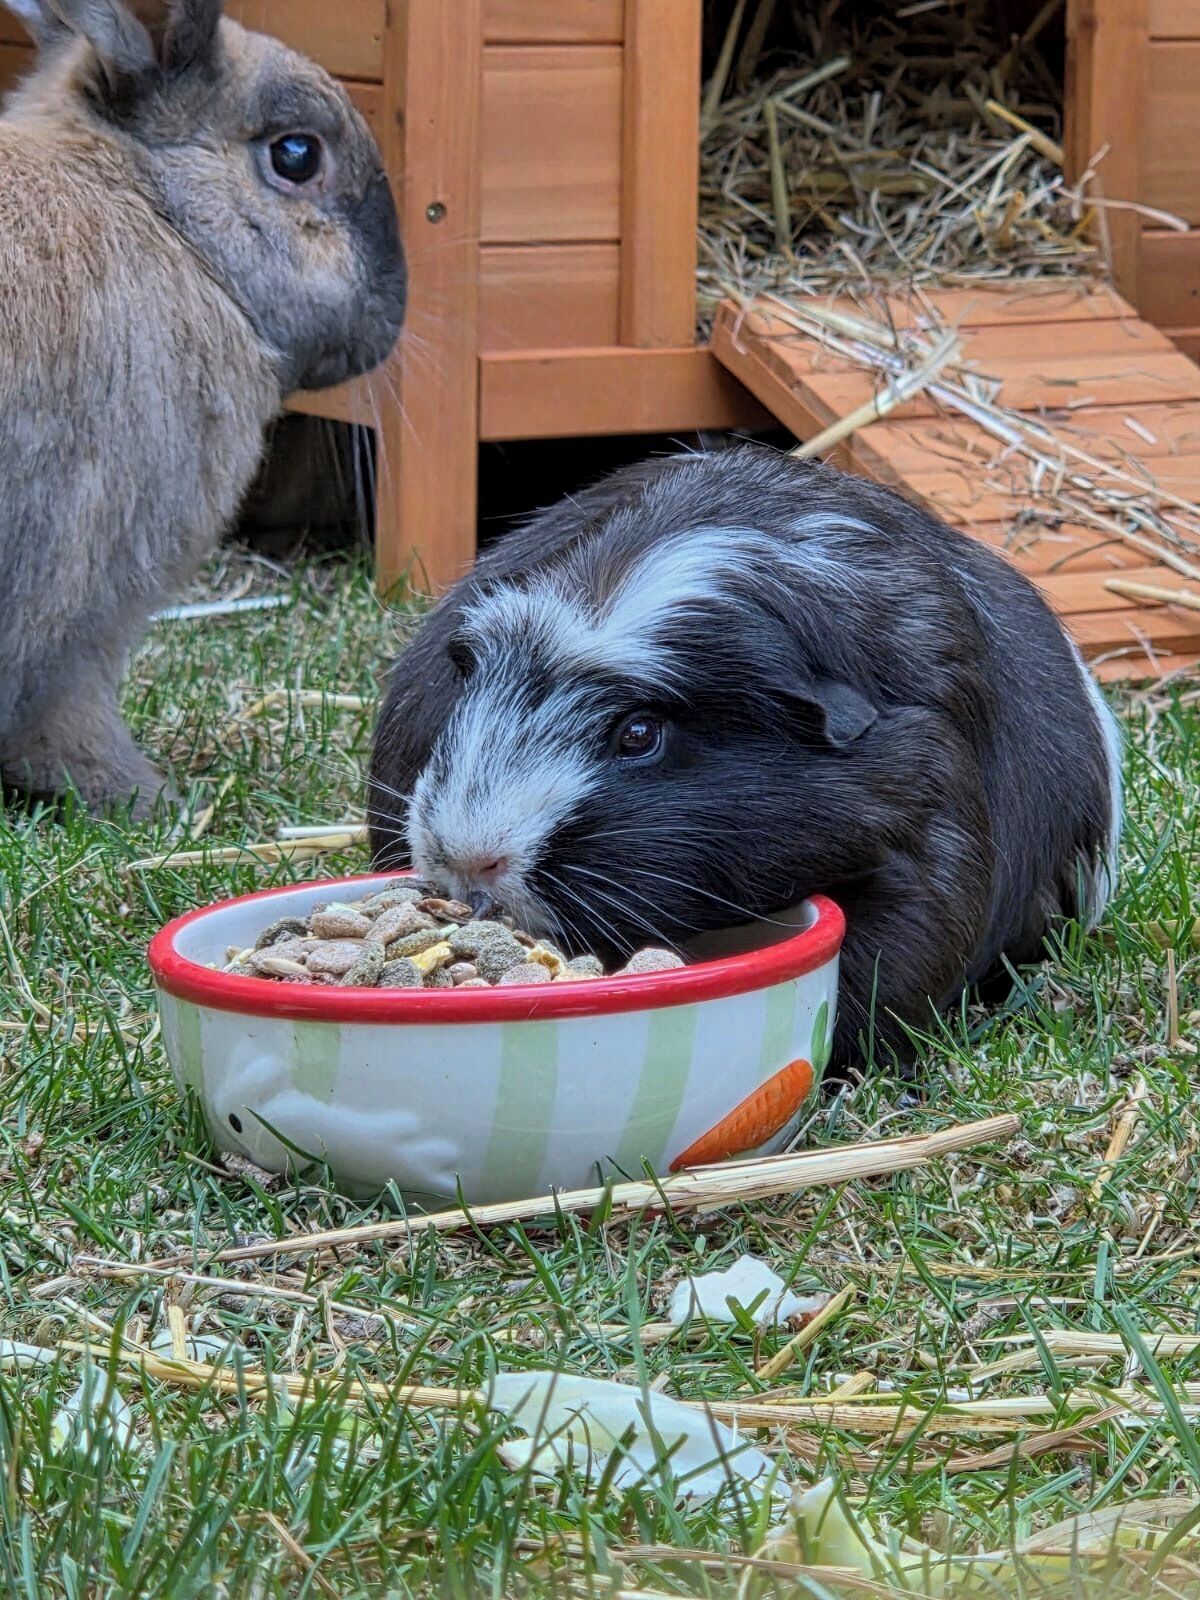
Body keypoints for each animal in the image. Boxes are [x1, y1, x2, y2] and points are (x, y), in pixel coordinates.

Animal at [0, 0, 405, 816]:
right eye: (295, 155)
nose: (396, 305)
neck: (164, 216)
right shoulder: (85, 596)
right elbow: (68, 715)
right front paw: (149, 798)